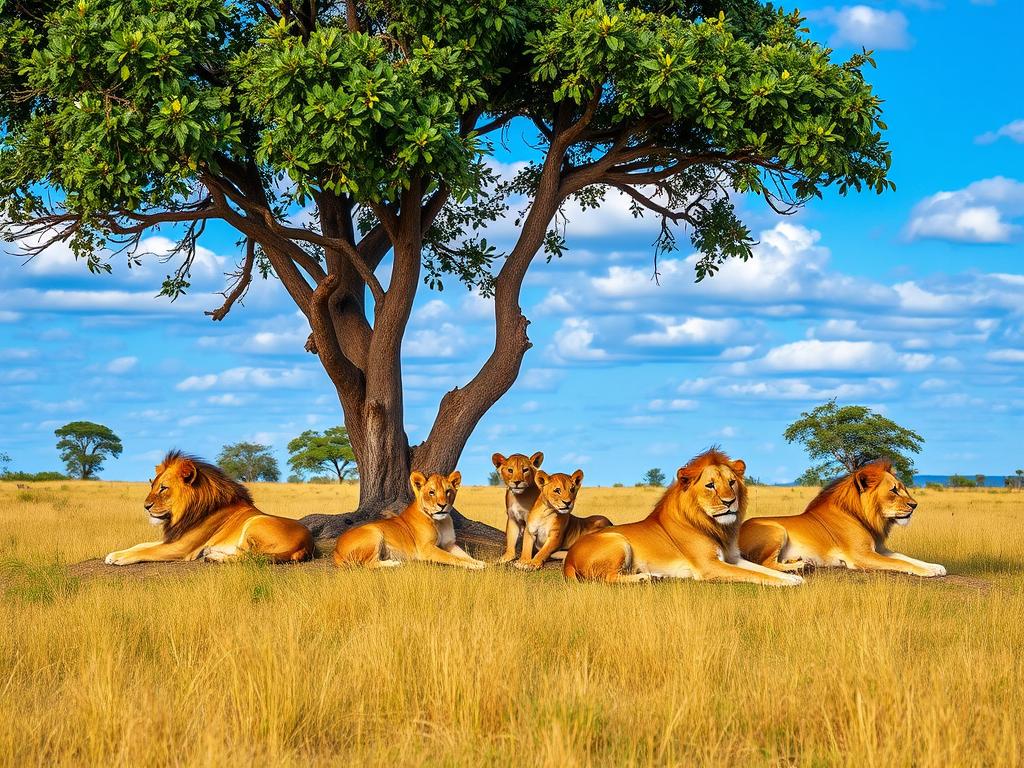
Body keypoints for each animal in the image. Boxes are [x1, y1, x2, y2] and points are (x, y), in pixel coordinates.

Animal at [104, 451, 314, 565]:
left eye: (163, 488)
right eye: (152, 485)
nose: (146, 506)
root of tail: (306, 544)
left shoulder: (181, 548)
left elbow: (146, 551)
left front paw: (119, 558)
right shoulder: (174, 538)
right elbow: (141, 545)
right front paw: (113, 553)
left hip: (255, 522)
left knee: (251, 557)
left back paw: (214, 557)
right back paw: (212, 556)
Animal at [332, 470, 486, 570]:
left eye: (448, 491)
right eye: (431, 492)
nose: (442, 505)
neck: (440, 521)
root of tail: (335, 550)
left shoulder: (449, 544)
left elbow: (466, 555)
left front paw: (481, 562)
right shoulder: (426, 549)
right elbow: (454, 558)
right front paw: (473, 566)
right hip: (374, 532)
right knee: (368, 564)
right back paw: (393, 563)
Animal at [563, 449, 802, 586]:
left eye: (731, 482)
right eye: (710, 485)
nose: (729, 501)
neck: (715, 526)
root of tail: (569, 558)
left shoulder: (733, 558)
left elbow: (762, 568)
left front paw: (792, 576)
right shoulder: (708, 566)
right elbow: (758, 575)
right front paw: (789, 582)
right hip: (618, 540)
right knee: (606, 578)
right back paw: (645, 578)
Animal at [738, 460, 946, 577]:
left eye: (903, 488)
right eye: (894, 490)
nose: (915, 505)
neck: (862, 517)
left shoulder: (879, 549)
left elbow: (906, 557)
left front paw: (936, 567)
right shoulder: (861, 555)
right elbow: (901, 562)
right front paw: (928, 571)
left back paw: (798, 563)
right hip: (777, 530)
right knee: (764, 563)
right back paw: (800, 567)